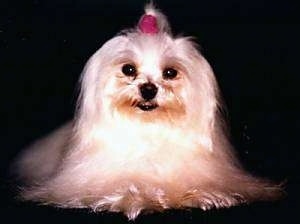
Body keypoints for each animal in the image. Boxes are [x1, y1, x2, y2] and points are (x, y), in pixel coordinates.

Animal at [13, 3, 282, 220]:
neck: (149, 130)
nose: (149, 89)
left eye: (170, 73)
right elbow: (122, 187)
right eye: (129, 69)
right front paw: (137, 199)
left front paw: (197, 196)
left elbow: (197, 186)